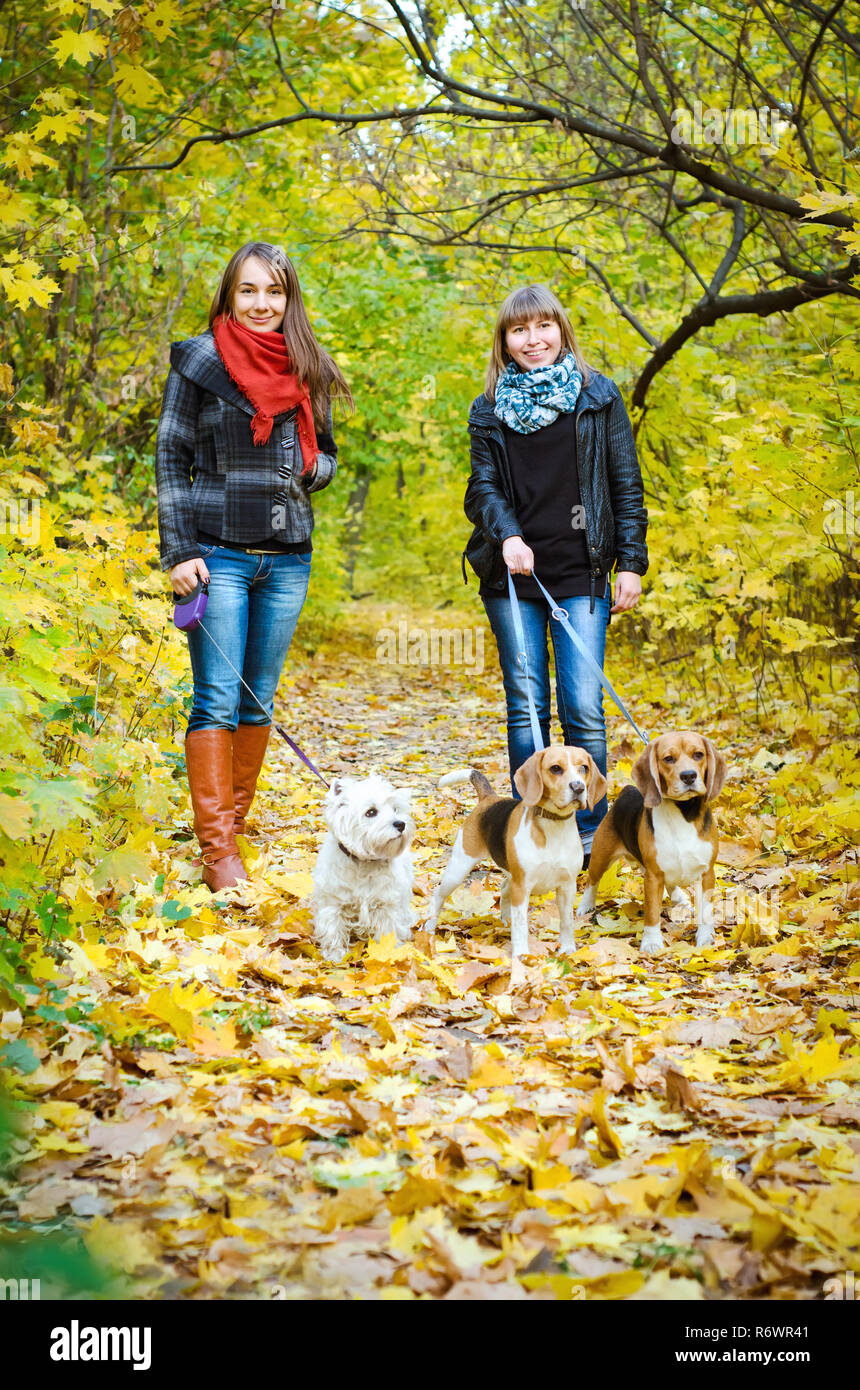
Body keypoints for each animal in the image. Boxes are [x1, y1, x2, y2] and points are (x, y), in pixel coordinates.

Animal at [312, 778, 416, 961]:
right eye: (371, 812)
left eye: (395, 809)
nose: (401, 824)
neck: (363, 862)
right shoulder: (333, 902)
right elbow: (333, 927)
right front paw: (335, 954)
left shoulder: (386, 904)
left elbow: (388, 931)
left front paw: (388, 952)